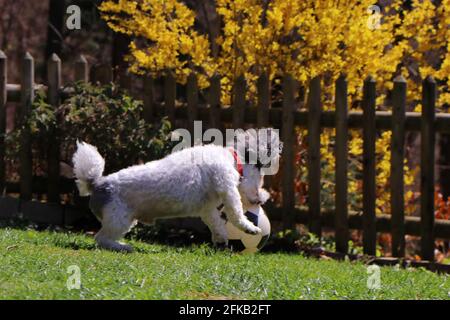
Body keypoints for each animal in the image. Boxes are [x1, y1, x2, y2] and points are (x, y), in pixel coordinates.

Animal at [71, 129, 282, 251]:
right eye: (261, 181)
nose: (262, 199)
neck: (232, 158)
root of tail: (98, 183)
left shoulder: (207, 208)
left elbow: (216, 223)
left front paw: (220, 238)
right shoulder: (227, 186)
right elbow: (236, 213)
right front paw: (250, 227)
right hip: (118, 220)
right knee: (101, 239)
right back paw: (122, 247)